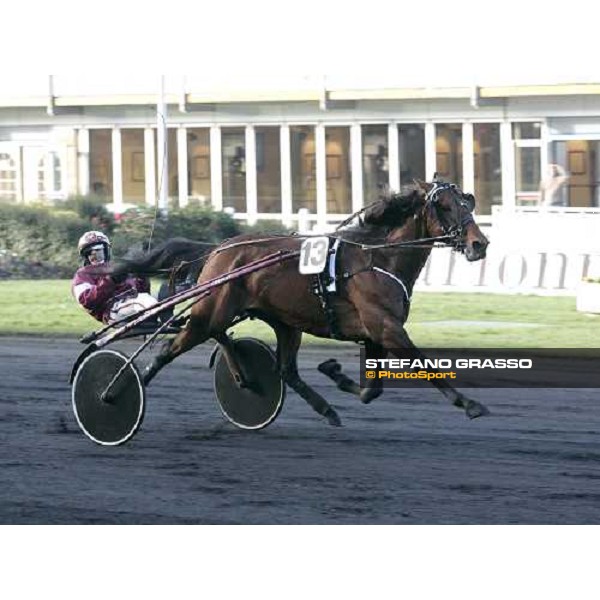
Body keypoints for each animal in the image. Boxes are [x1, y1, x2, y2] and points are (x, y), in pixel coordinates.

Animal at [117, 178, 488, 426]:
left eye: (467, 203)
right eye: (444, 206)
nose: (479, 244)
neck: (378, 257)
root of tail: (219, 248)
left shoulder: (375, 332)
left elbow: (372, 391)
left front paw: (334, 372)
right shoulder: (387, 328)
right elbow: (426, 366)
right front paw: (470, 404)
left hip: (279, 321)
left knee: (280, 366)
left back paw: (305, 400)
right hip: (212, 311)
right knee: (171, 349)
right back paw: (117, 394)